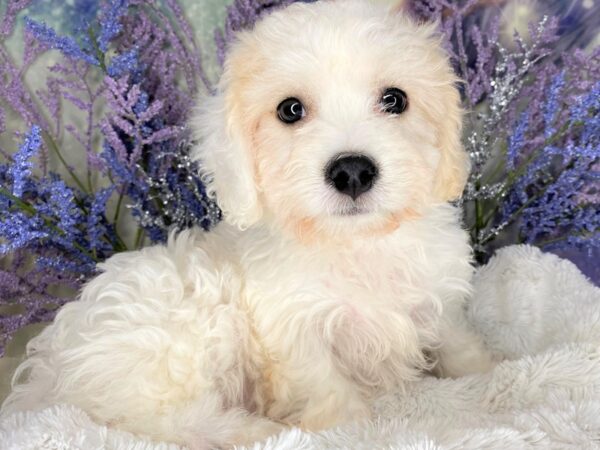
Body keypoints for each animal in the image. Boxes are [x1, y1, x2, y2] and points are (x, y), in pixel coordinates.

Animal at [2, 1, 494, 448]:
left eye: (395, 100)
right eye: (290, 110)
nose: (352, 171)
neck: (355, 242)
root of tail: (52, 369)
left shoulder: (437, 298)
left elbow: (456, 341)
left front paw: (487, 369)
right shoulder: (295, 330)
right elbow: (326, 386)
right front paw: (348, 429)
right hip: (177, 335)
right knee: (159, 419)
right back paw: (251, 430)